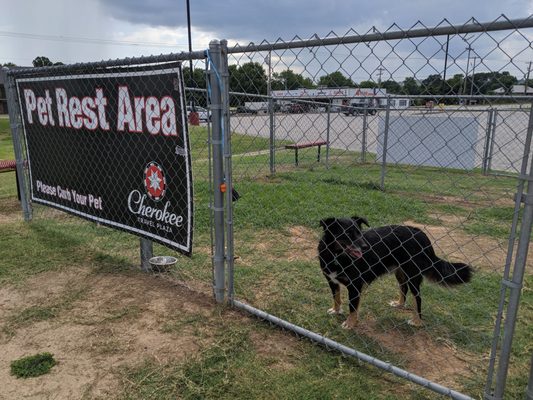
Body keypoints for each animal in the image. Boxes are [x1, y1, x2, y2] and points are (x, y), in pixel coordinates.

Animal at [316, 216, 470, 328]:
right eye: (347, 233)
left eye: (359, 232)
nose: (365, 247)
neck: (336, 256)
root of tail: (420, 233)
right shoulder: (331, 280)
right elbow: (336, 297)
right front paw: (336, 311)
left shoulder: (355, 285)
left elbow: (353, 308)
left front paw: (350, 323)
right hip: (400, 272)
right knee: (404, 288)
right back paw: (399, 304)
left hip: (413, 274)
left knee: (418, 297)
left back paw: (417, 321)